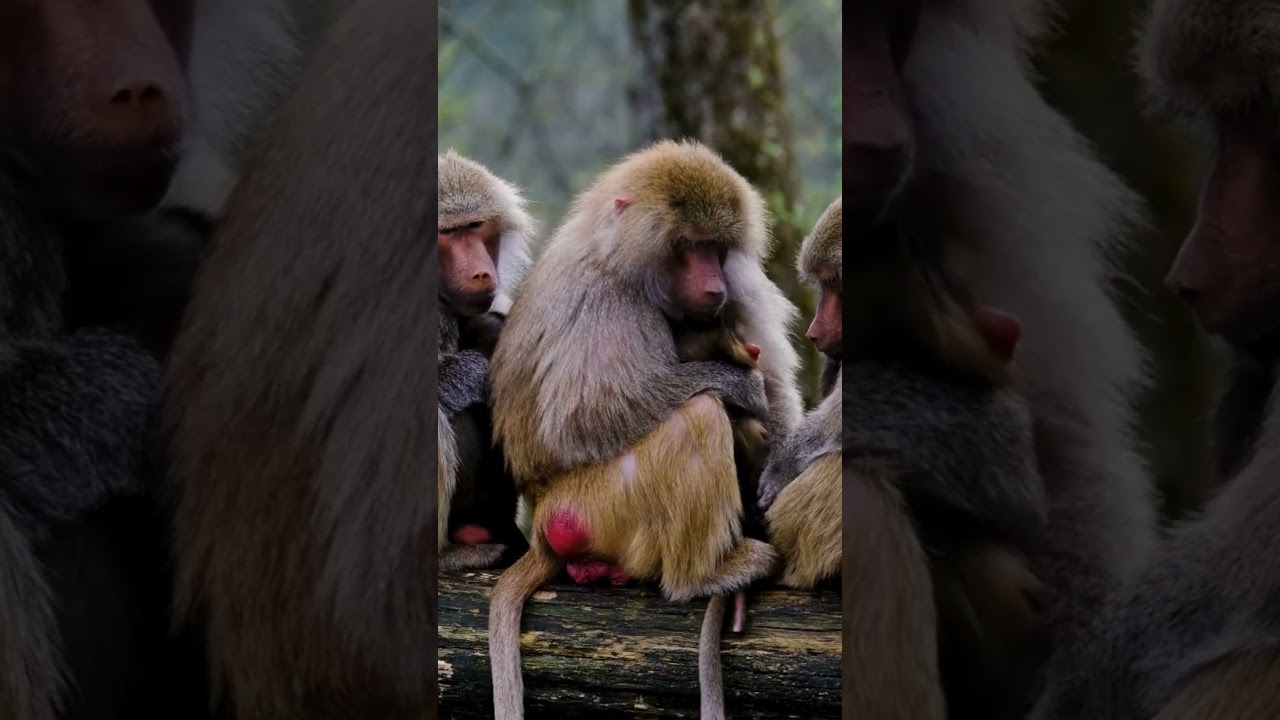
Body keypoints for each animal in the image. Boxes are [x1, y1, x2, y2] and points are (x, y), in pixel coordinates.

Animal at [487, 139, 804, 720]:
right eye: (691, 246)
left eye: (717, 248)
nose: (714, 285)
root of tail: (541, 524)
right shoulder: (605, 299)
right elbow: (581, 418)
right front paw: (735, 383)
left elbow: (773, 393)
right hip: (595, 505)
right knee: (698, 417)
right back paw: (705, 573)